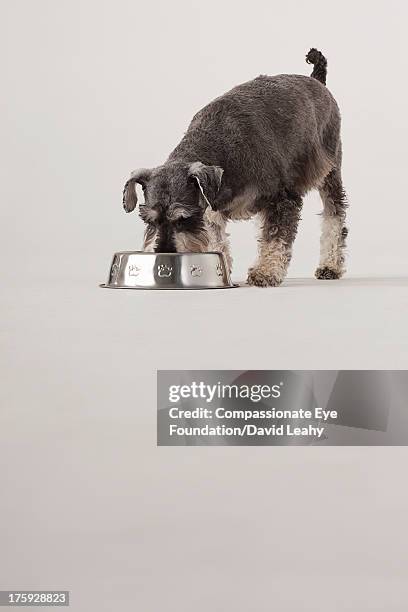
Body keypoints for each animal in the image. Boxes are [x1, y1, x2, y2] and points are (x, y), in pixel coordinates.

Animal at [122, 48, 348, 286]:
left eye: (183, 219)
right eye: (150, 221)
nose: (165, 253)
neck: (219, 147)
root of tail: (317, 81)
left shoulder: (283, 199)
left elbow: (275, 237)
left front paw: (266, 272)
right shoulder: (210, 209)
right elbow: (217, 240)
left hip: (330, 171)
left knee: (335, 217)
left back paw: (330, 266)